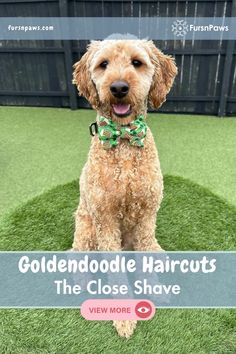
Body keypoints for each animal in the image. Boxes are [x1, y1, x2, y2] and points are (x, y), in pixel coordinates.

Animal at [72, 36, 177, 338]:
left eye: (136, 62)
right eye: (103, 64)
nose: (119, 88)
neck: (124, 139)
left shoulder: (147, 214)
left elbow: (145, 254)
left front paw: (154, 289)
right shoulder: (105, 220)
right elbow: (115, 269)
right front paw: (124, 317)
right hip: (85, 228)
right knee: (77, 257)